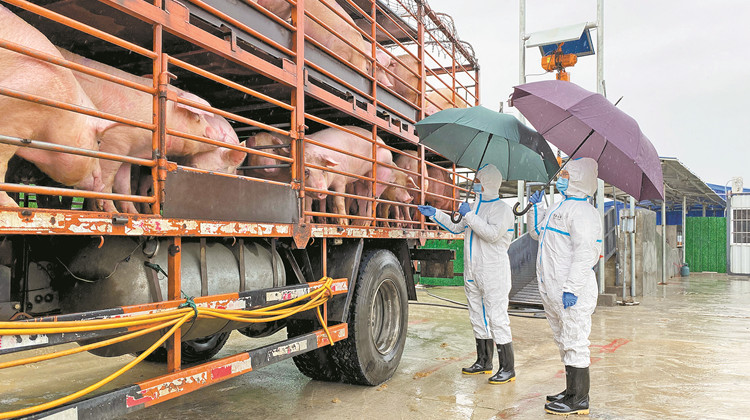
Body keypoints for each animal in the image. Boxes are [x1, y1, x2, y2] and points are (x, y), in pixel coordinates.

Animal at [59, 48, 247, 213]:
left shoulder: (127, 151)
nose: (216, 136)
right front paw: (112, 212)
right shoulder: (113, 142)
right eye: (198, 117)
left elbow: (123, 185)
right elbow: (107, 179)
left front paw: (132, 213)